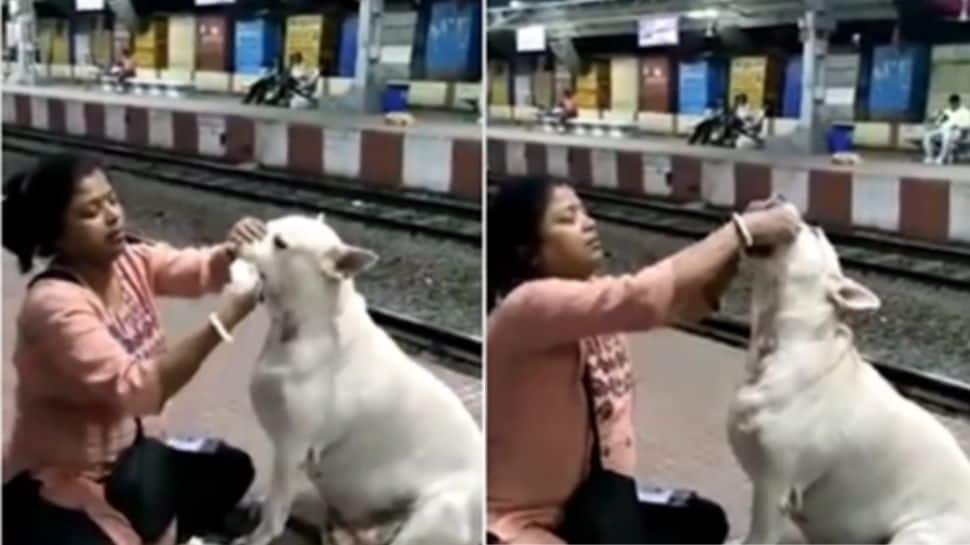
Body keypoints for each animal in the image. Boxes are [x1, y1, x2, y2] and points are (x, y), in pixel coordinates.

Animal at [231, 215, 480, 540]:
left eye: (280, 243)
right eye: (267, 225)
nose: (239, 235)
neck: (307, 323)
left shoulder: (293, 447)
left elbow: (275, 511)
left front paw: (256, 537)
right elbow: (274, 498)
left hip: (438, 510)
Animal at [728, 205, 968, 544]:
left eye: (814, 233)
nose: (784, 201)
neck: (780, 340)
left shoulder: (773, 485)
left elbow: (759, 533)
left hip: (918, 534)